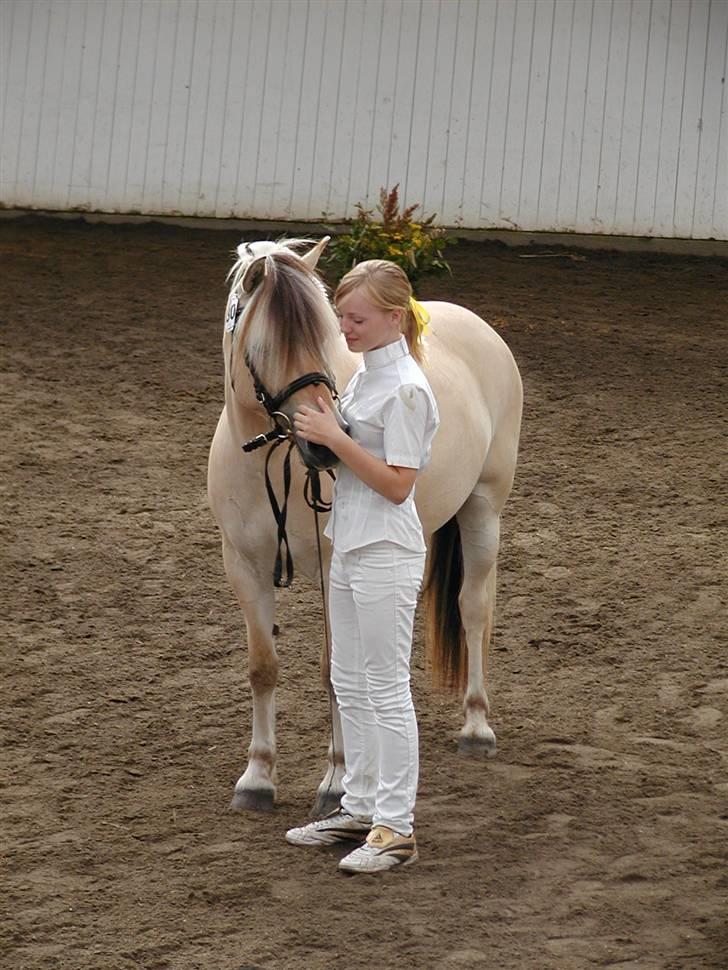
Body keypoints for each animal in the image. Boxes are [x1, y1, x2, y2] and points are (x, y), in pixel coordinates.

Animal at [208, 234, 520, 808]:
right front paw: (258, 776)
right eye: (262, 350)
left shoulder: (336, 569)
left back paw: (476, 727)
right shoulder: (243, 566)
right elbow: (263, 667)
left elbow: (336, 671)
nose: (323, 444)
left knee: (473, 609)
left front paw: (336, 781)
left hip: (483, 510)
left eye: (327, 337)